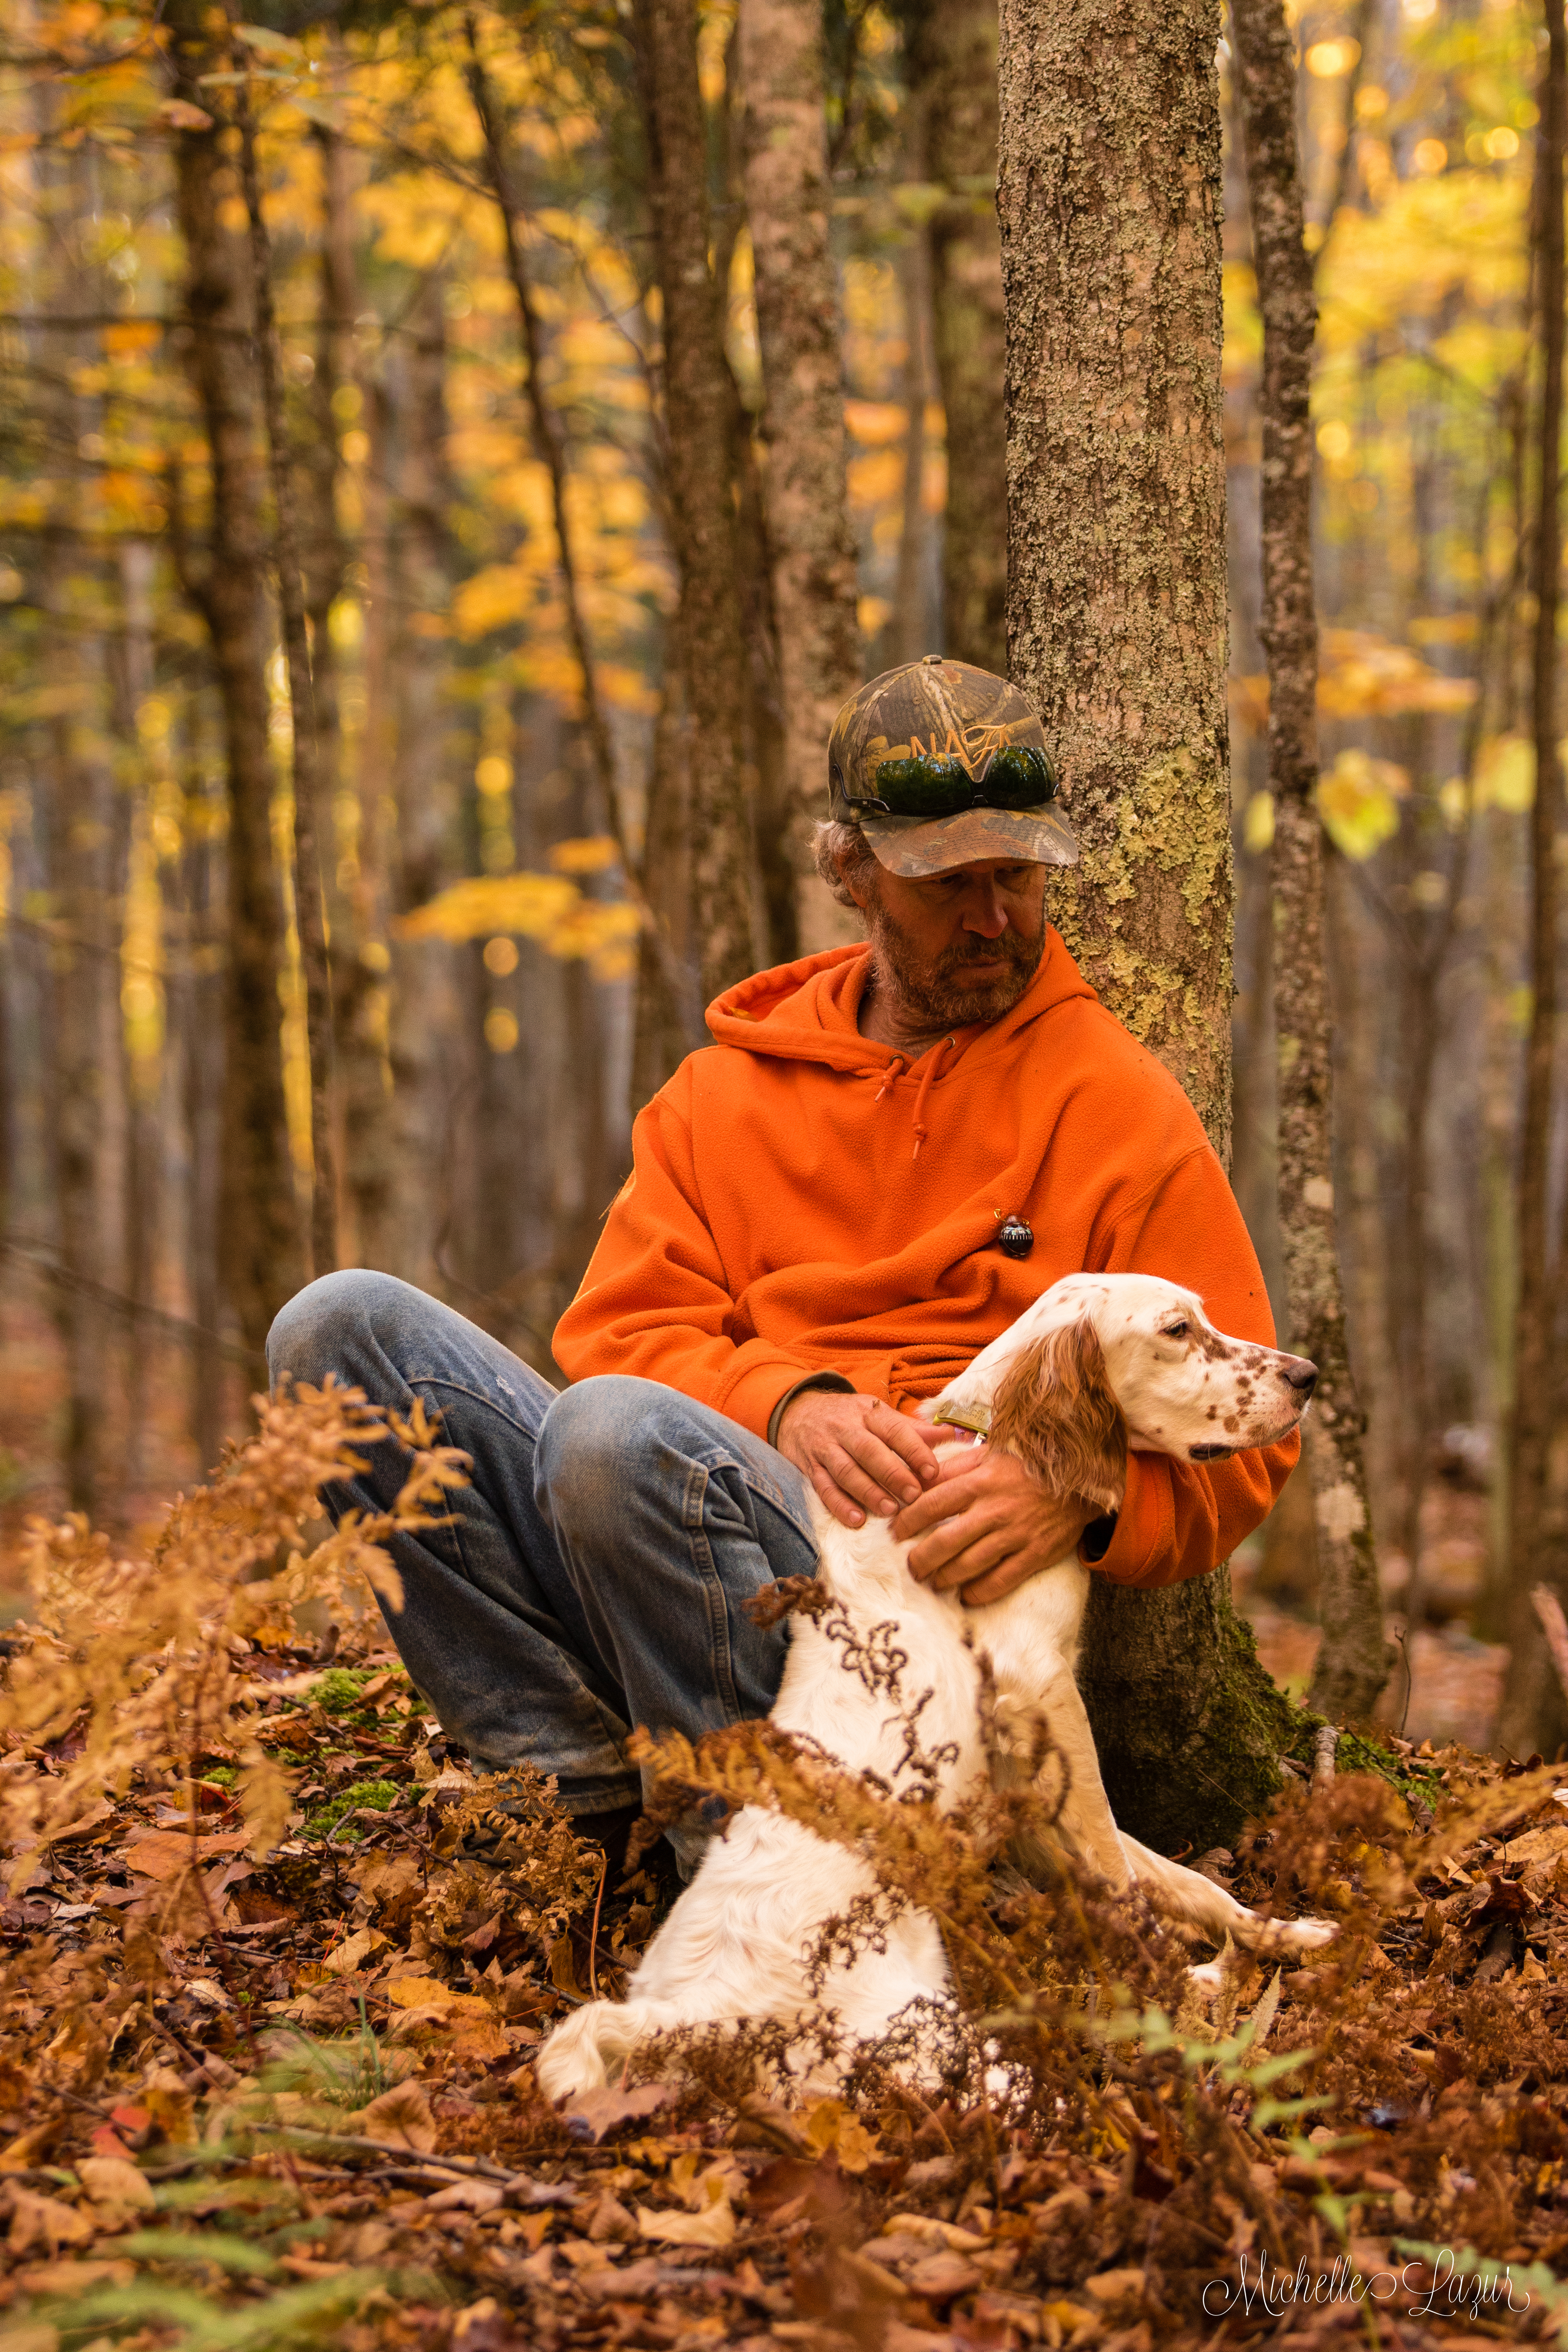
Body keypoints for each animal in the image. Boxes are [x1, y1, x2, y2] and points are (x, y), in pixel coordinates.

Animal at [543, 1279, 1335, 2107]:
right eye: (1177, 1330)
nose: (1307, 1375)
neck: (989, 1438)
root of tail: (686, 2014)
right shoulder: (1040, 1688)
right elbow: (1118, 1870)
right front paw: (1167, 1982)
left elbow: (1172, 1875)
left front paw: (1288, 1935)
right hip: (945, 2052)